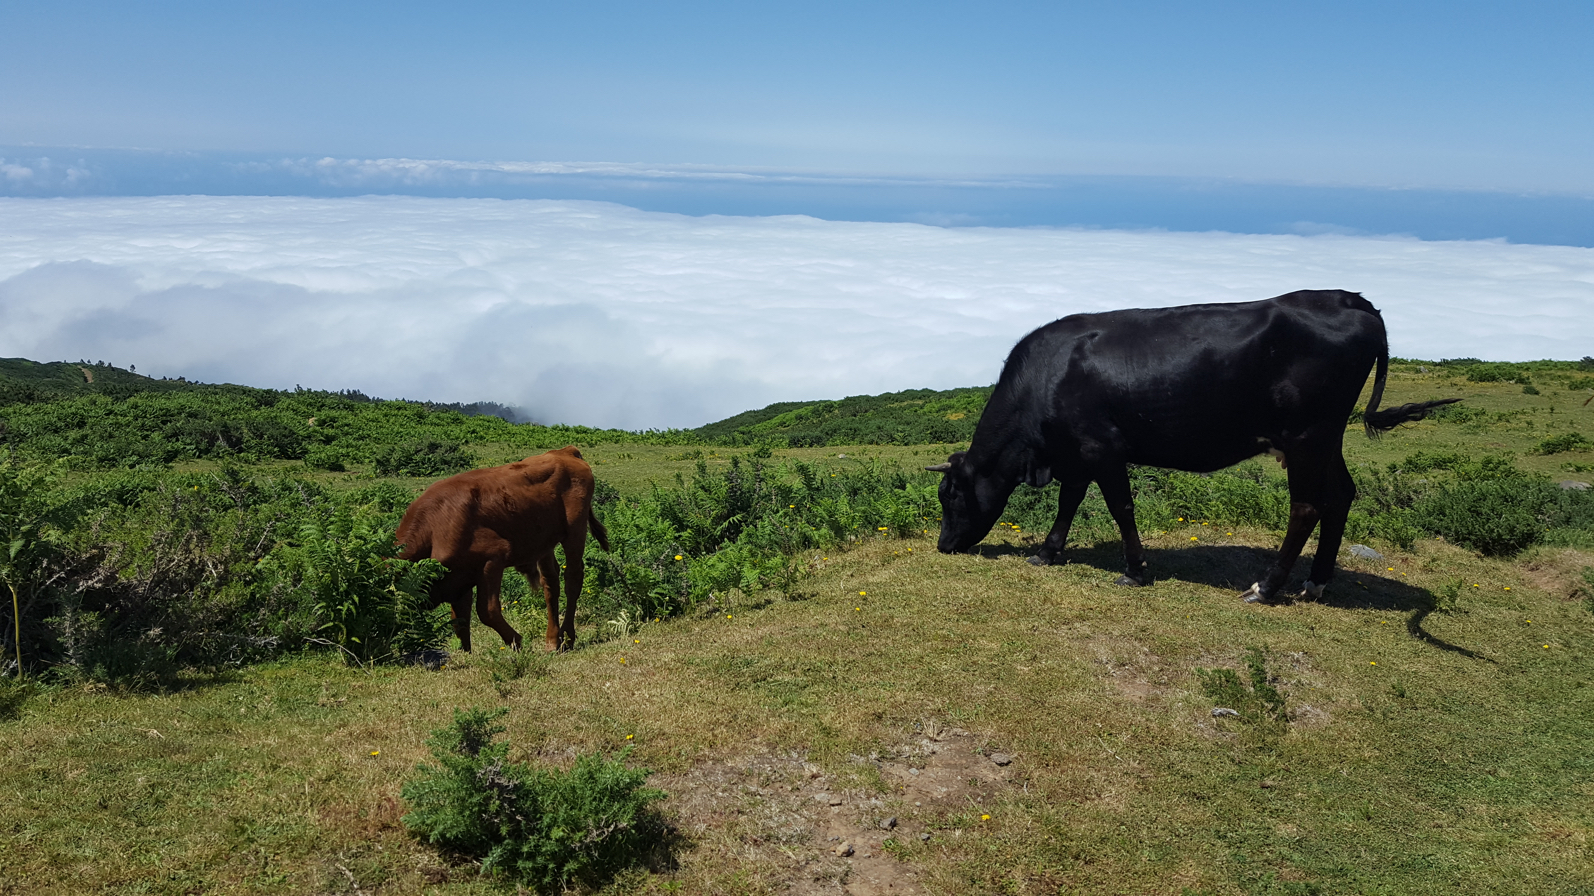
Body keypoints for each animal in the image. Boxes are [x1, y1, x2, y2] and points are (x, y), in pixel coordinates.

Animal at [396, 446, 610, 652]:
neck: (434, 527)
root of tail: (565, 452)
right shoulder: (459, 580)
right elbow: (460, 620)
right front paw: (466, 653)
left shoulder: (492, 560)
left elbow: (487, 611)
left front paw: (517, 642)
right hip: (544, 544)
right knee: (551, 584)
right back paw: (552, 641)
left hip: (575, 532)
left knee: (572, 579)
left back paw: (567, 637)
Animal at [927, 290, 1458, 604]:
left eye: (949, 496)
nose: (943, 546)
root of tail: (1350, 300)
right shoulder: (1075, 453)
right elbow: (1069, 501)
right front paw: (1047, 551)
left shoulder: (1102, 447)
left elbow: (1120, 506)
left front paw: (1135, 570)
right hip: (1327, 438)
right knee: (1341, 495)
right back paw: (1317, 581)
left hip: (1307, 436)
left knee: (1307, 506)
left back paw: (1267, 587)